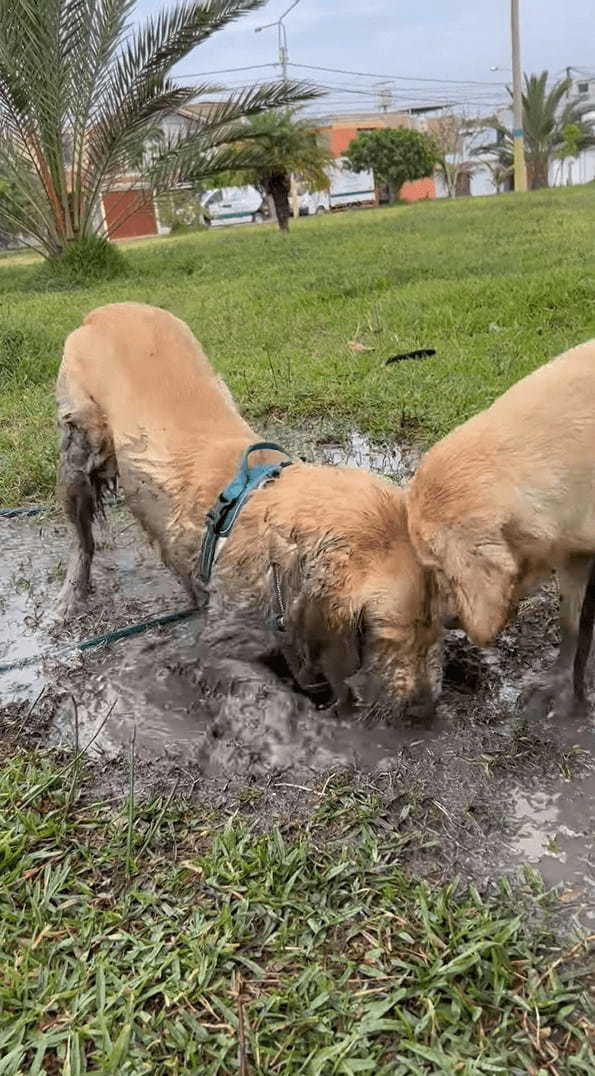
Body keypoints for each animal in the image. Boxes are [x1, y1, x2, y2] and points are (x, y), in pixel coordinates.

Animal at [54, 305, 441, 723]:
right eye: (385, 631)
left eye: (441, 625)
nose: (425, 707)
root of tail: (104, 310)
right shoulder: (226, 638)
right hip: (79, 444)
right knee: (81, 538)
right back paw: (70, 598)